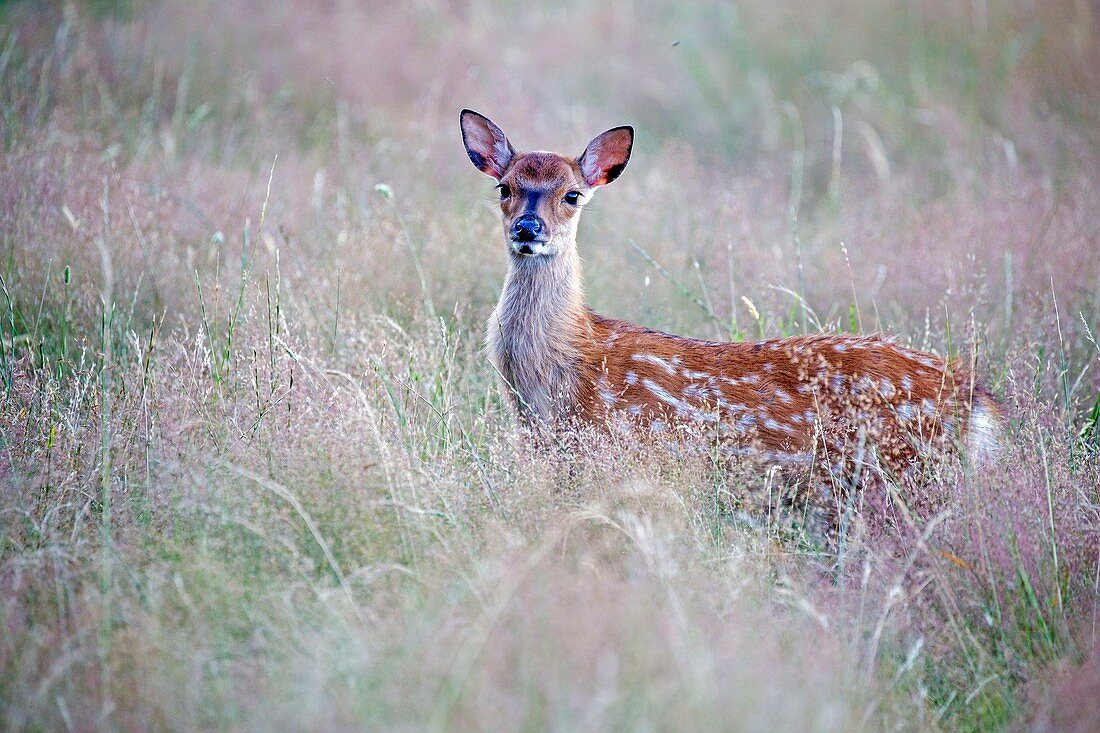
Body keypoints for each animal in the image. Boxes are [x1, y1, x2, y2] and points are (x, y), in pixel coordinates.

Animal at [459, 105, 1003, 499]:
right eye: (504, 187)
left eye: (572, 195)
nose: (528, 228)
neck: (562, 367)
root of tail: (974, 398)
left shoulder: (614, 442)